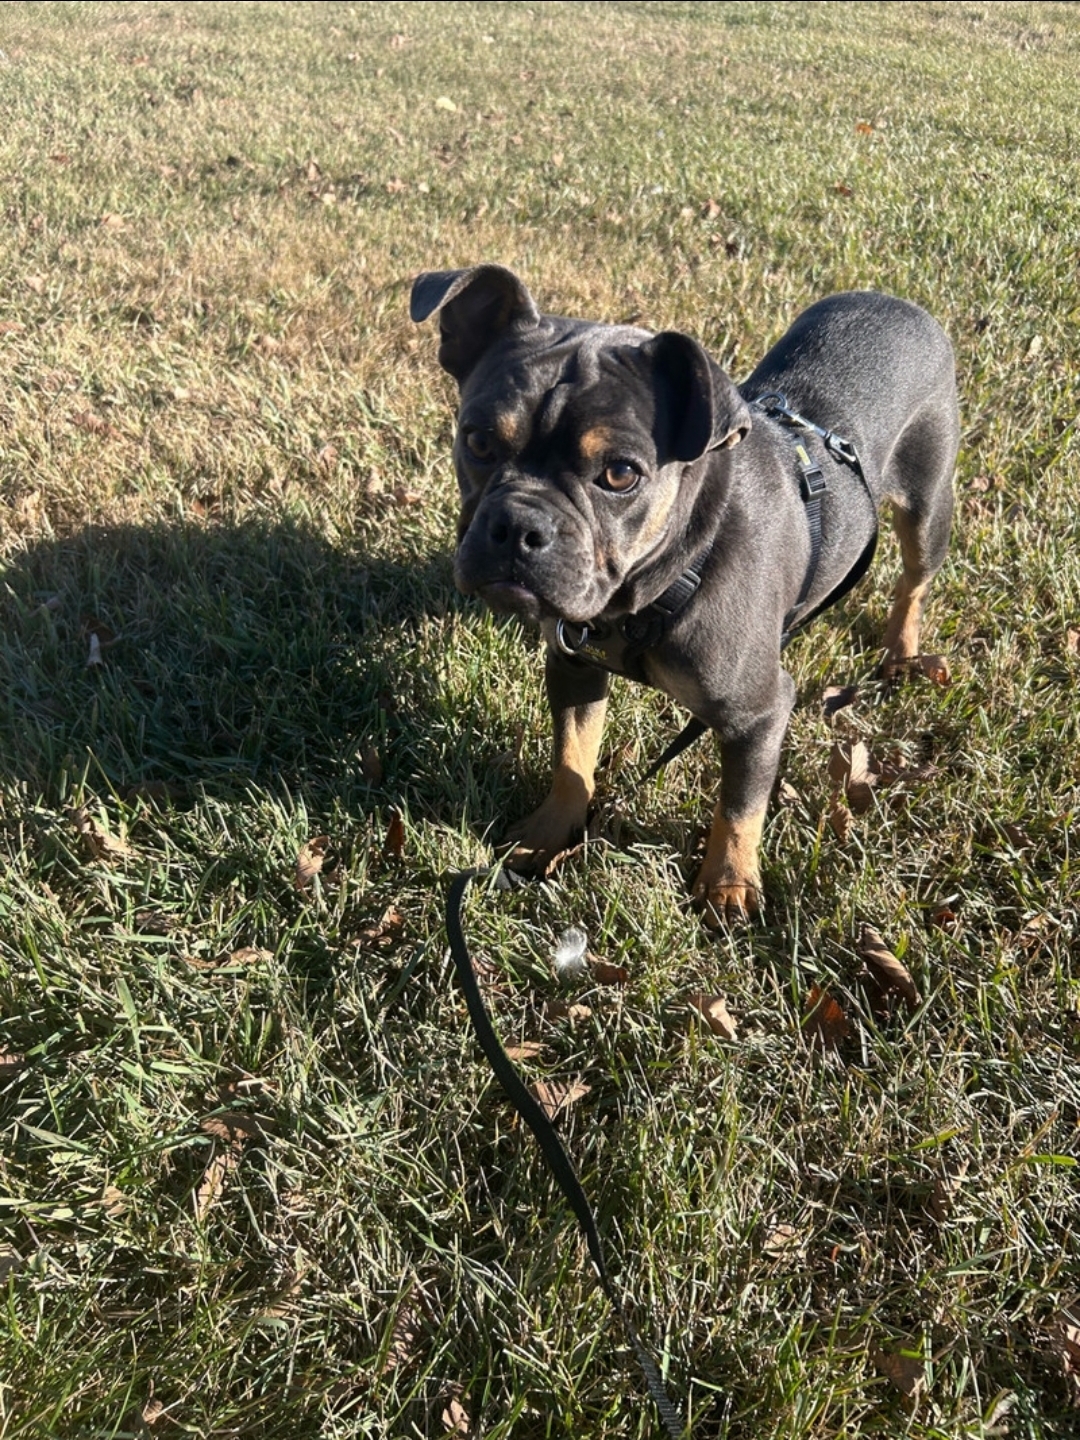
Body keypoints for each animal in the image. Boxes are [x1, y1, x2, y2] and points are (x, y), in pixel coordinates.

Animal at [411, 265, 959, 921]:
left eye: (621, 474)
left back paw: (902, 652)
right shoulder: (573, 666)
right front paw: (549, 834)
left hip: (927, 510)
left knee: (912, 583)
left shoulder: (760, 714)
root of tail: (903, 306)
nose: (518, 526)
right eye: (478, 441)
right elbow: (572, 756)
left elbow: (741, 805)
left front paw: (728, 886)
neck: (655, 586)